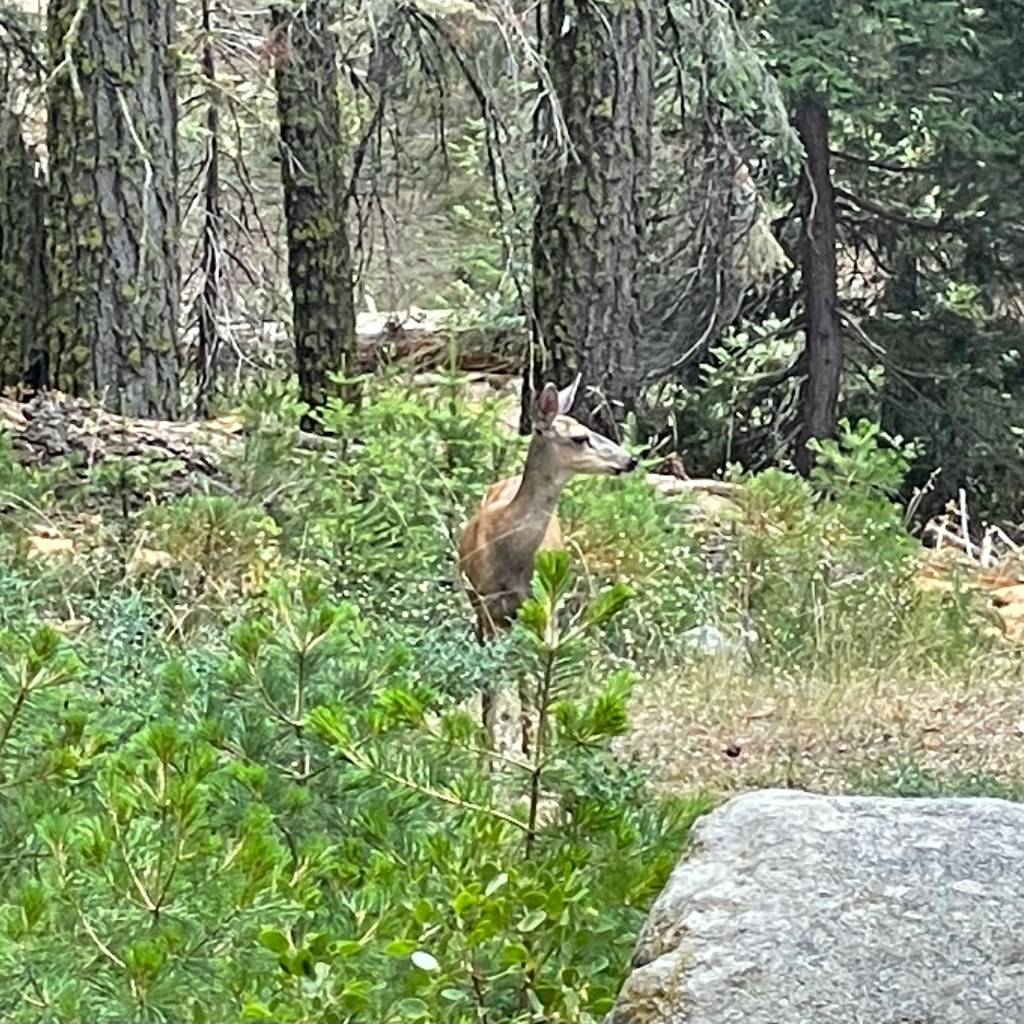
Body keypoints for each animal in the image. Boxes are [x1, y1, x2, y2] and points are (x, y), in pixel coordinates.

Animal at [457, 375, 638, 757]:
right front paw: (486, 755)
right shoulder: (487, 605)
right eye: (580, 437)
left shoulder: (539, 605)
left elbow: (540, 668)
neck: (509, 553)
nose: (630, 460)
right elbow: (490, 686)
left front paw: (538, 743)